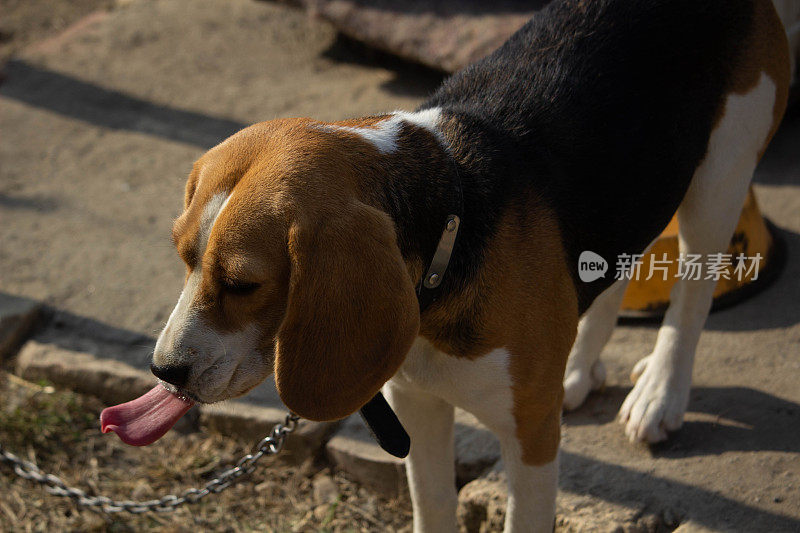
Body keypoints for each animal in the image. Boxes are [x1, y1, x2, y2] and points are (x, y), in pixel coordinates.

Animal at [103, 0, 792, 528]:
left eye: (243, 284)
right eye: (183, 257)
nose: (163, 371)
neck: (446, 243)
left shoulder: (530, 437)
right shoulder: (418, 410)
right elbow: (432, 506)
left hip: (720, 178)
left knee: (691, 300)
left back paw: (659, 395)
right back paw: (579, 368)